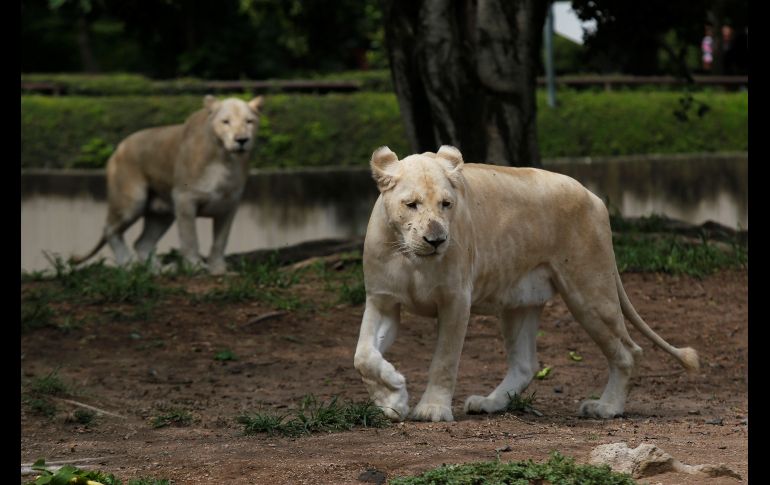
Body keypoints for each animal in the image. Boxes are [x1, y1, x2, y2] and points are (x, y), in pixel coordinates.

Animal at [70, 95, 264, 275]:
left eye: (249, 121)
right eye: (225, 122)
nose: (242, 140)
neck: (225, 160)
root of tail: (118, 148)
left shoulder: (228, 206)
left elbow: (220, 241)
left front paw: (219, 269)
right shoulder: (185, 199)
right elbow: (190, 238)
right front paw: (195, 267)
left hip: (162, 214)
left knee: (142, 243)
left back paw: (159, 271)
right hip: (131, 201)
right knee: (110, 229)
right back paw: (128, 265)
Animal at [353, 145, 699, 423]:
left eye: (446, 204)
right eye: (411, 204)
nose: (436, 240)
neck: (409, 256)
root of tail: (594, 197)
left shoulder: (455, 301)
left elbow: (444, 360)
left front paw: (432, 409)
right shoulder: (382, 301)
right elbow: (363, 356)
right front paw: (393, 396)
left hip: (590, 292)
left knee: (629, 351)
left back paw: (606, 407)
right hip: (518, 302)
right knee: (525, 364)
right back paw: (490, 403)